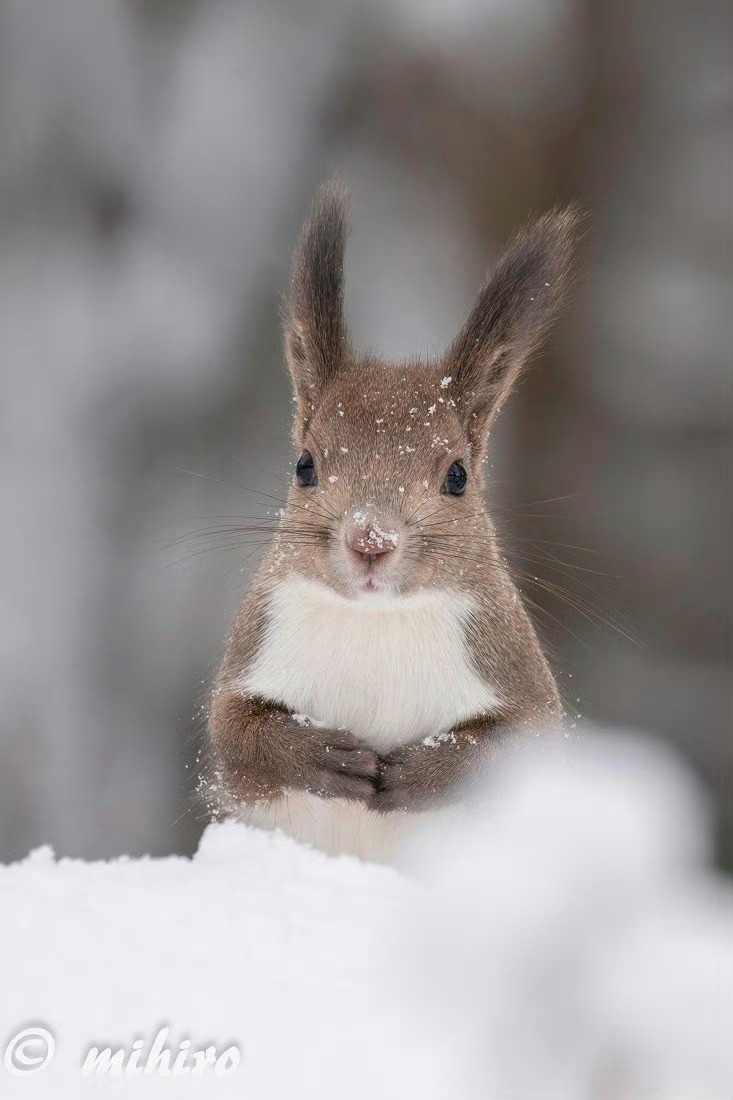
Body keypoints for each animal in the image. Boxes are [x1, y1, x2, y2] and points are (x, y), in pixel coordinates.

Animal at [205, 180, 576, 862]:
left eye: (458, 476)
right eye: (304, 465)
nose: (371, 540)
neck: (377, 622)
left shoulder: (513, 674)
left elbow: (512, 743)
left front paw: (418, 772)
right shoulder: (255, 648)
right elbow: (235, 730)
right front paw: (321, 756)